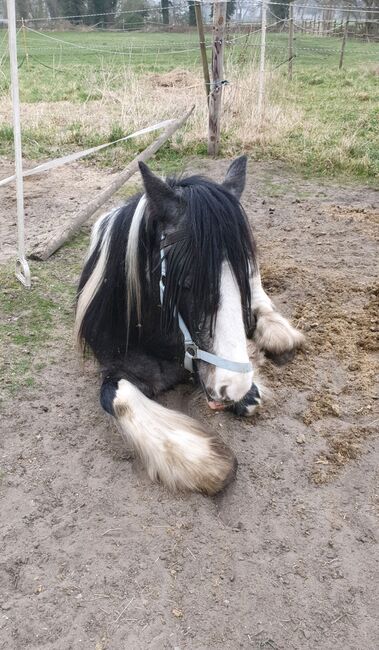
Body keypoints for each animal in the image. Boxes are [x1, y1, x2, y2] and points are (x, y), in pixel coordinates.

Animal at [75, 156, 304, 492]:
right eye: (185, 283)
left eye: (239, 276)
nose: (235, 386)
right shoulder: (114, 366)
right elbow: (117, 395)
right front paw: (205, 462)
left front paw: (248, 391)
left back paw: (278, 333)